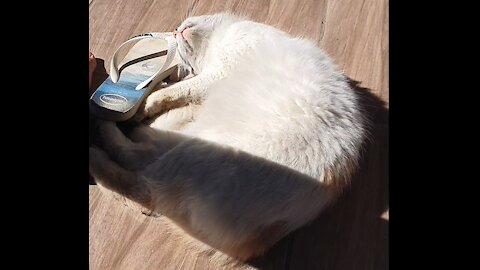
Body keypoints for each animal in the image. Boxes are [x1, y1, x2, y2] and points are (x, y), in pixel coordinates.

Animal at [89, 12, 368, 260]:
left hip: (192, 153)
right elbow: (178, 91)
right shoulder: (209, 79)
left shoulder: (217, 72)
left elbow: (177, 91)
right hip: (188, 141)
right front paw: (154, 96)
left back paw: (100, 138)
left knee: (139, 181)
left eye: (181, 47)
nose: (177, 31)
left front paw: (148, 101)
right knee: (144, 158)